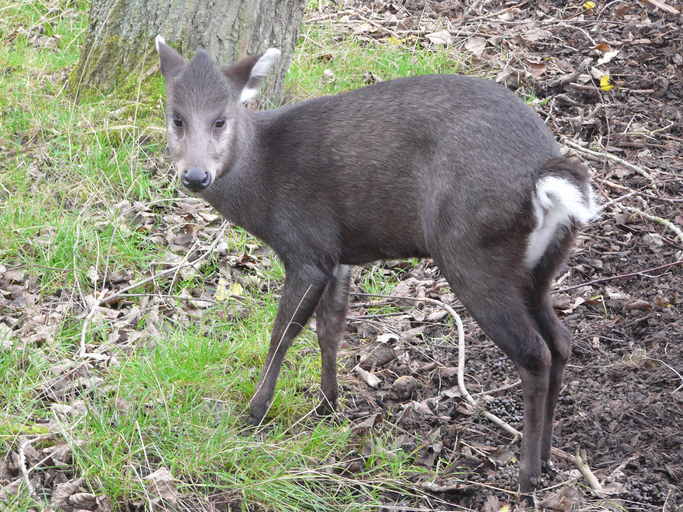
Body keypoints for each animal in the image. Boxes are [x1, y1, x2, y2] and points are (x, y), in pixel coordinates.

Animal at [156, 36, 600, 492]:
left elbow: (283, 333)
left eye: (220, 121)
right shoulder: (339, 255)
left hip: (472, 254)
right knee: (560, 341)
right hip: (541, 265)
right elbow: (330, 329)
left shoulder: (306, 247)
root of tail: (545, 176)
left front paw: (253, 414)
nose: (195, 175)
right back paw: (546, 456)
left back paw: (526, 475)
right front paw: (327, 406)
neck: (262, 177)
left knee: (535, 353)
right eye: (177, 118)